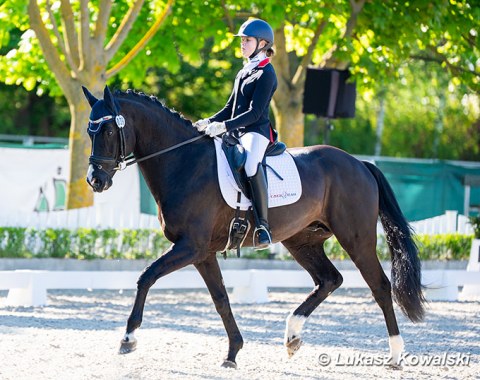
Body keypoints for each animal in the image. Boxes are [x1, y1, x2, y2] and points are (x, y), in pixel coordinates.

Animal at [84, 85, 426, 368]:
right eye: (90, 131)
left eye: (109, 131)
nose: (95, 181)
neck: (185, 163)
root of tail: (360, 164)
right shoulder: (202, 253)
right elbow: (221, 300)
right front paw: (233, 352)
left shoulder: (190, 246)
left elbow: (146, 276)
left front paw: (128, 339)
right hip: (302, 241)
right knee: (329, 279)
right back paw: (292, 337)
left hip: (356, 238)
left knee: (380, 286)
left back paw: (395, 355)